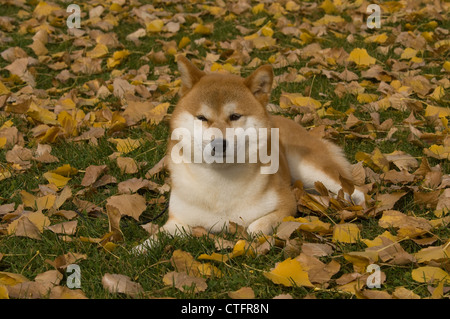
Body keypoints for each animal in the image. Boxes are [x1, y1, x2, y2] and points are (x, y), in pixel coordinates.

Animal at [134, 55, 366, 255]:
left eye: (235, 116)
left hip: (311, 170)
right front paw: (138, 249)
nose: (218, 144)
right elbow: (157, 236)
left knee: (354, 190)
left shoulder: (286, 204)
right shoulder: (178, 221)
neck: (219, 183)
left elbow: (256, 227)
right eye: (201, 117)